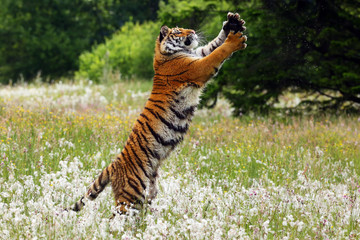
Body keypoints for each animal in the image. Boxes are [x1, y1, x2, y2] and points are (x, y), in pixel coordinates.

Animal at [69, 12, 246, 214]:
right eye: (178, 31)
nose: (193, 31)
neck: (165, 55)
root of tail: (113, 165)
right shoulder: (198, 67)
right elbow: (218, 53)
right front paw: (235, 40)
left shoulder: (198, 54)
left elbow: (213, 45)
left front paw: (232, 22)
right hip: (130, 197)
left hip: (143, 196)